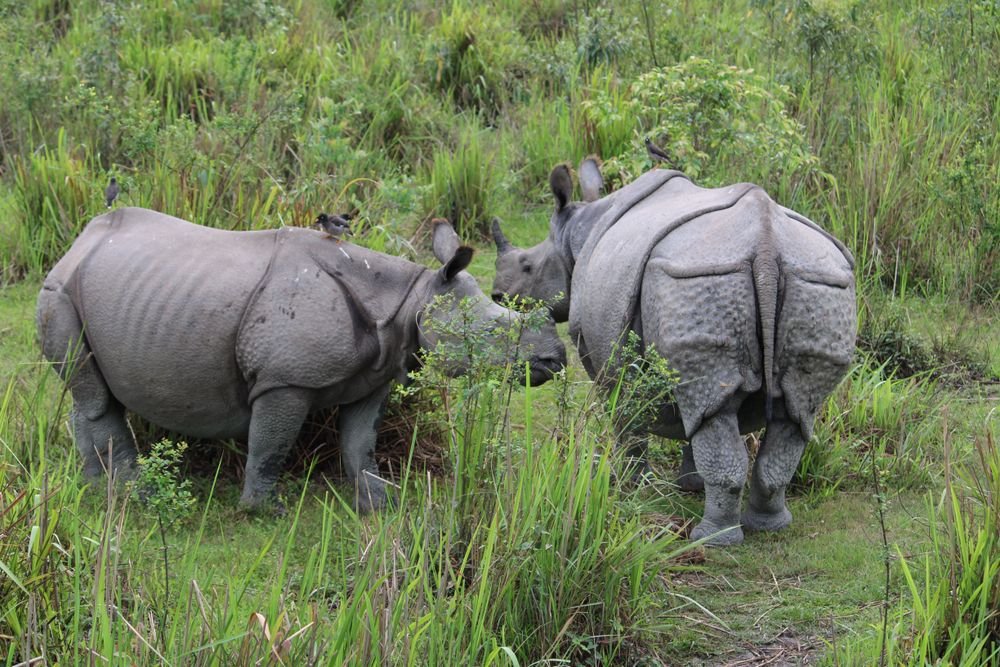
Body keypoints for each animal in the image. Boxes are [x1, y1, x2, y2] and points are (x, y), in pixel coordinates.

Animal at [37, 208, 566, 511]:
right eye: (495, 331)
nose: (555, 359)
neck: (411, 299)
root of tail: (77, 243)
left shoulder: (376, 375)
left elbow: (360, 444)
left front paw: (382, 504)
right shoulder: (284, 379)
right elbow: (271, 444)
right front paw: (264, 511)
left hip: (94, 290)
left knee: (88, 394)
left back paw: (93, 490)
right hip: (58, 291)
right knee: (96, 398)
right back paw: (136, 498)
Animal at [492, 159, 856, 546]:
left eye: (527, 266)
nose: (498, 295)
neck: (575, 233)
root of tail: (767, 245)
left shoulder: (603, 356)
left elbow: (626, 417)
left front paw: (630, 486)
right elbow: (692, 419)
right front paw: (690, 485)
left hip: (699, 277)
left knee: (721, 410)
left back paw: (710, 539)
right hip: (816, 282)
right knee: (789, 413)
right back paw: (769, 525)